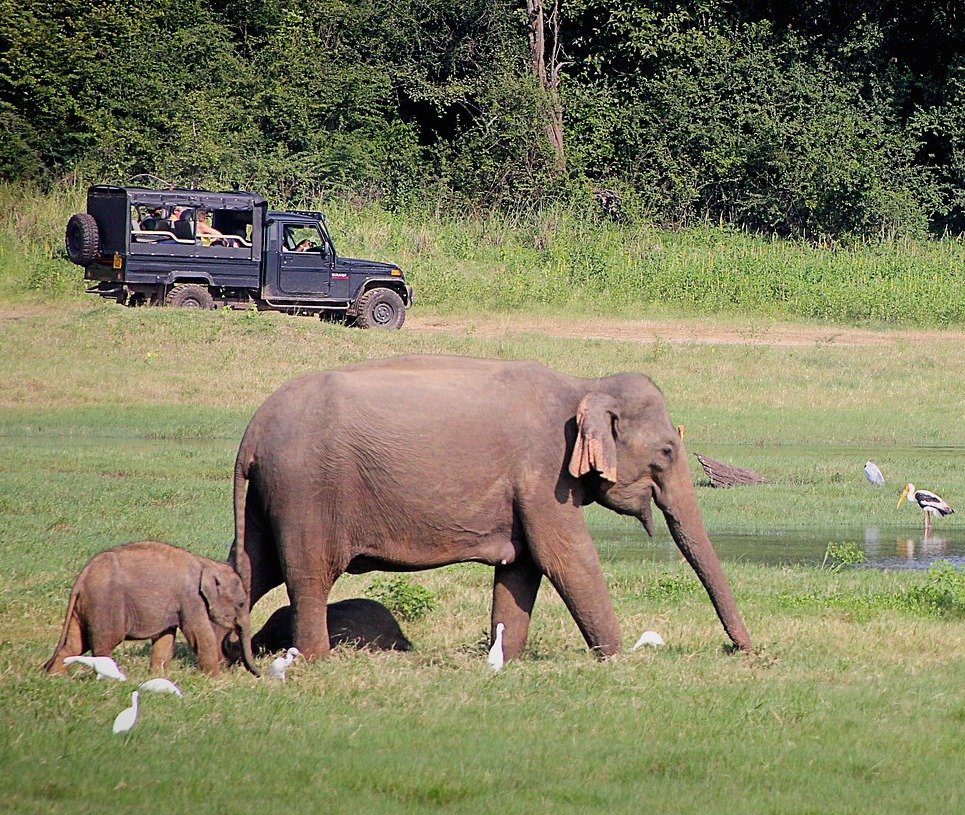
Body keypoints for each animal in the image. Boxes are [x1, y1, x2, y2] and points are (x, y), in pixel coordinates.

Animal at [44, 540, 258, 676]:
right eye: (241, 604)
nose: (258, 675)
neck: (207, 563)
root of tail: (84, 574)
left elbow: (165, 637)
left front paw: (158, 675)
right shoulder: (191, 599)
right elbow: (200, 634)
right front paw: (214, 678)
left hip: (85, 606)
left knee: (74, 644)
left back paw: (56, 678)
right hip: (104, 604)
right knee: (103, 644)